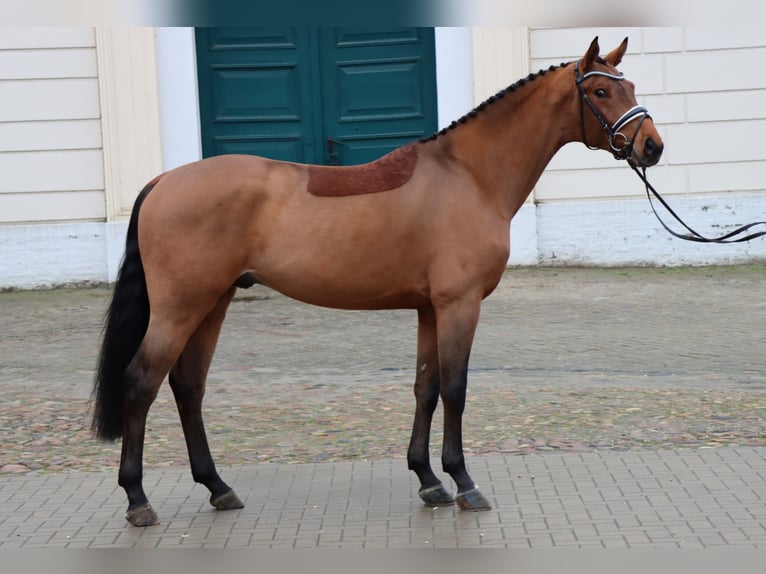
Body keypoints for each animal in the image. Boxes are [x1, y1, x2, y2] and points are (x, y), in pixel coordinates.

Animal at [91, 38, 664, 528]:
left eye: (631, 86)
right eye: (600, 91)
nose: (652, 146)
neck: (468, 175)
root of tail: (162, 181)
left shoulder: (429, 308)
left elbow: (425, 388)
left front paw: (429, 480)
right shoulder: (459, 305)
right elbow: (455, 389)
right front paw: (464, 482)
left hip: (214, 302)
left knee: (188, 385)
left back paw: (218, 487)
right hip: (181, 307)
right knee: (141, 382)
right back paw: (138, 499)